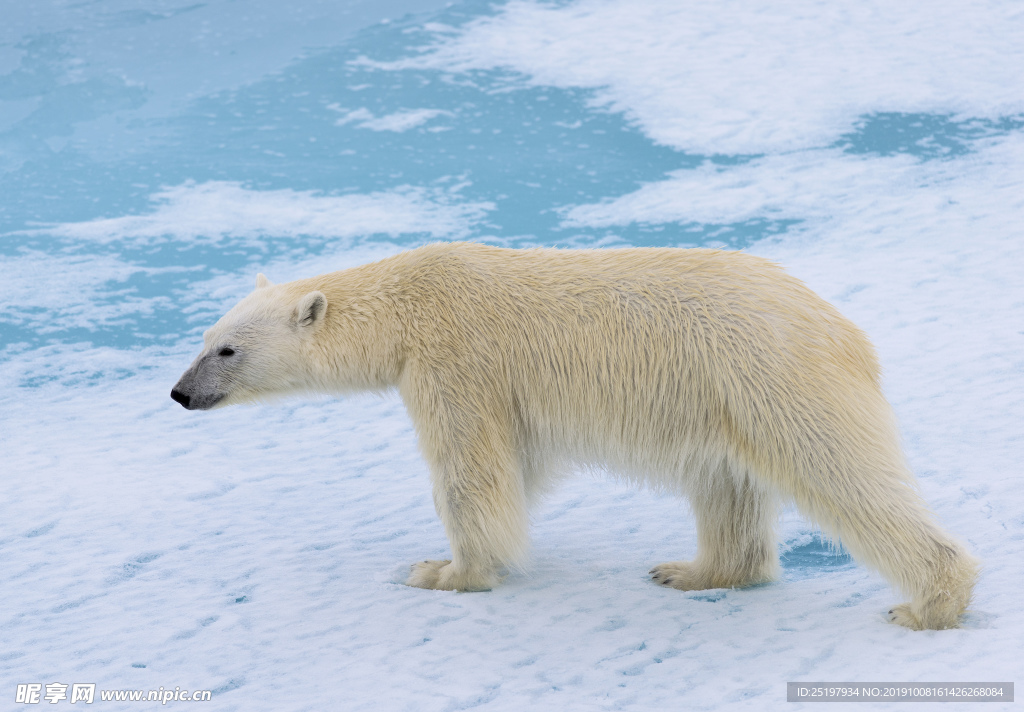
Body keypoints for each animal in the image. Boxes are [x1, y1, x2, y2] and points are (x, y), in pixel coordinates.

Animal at [174, 243, 974, 631]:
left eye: (228, 351)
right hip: (723, 401)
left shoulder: (456, 360)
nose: (180, 393)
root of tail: (845, 331)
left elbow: (471, 473)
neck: (408, 300)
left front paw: (444, 571)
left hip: (774, 380)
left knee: (842, 475)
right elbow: (519, 468)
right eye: (205, 338)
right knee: (725, 484)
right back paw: (692, 570)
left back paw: (928, 604)